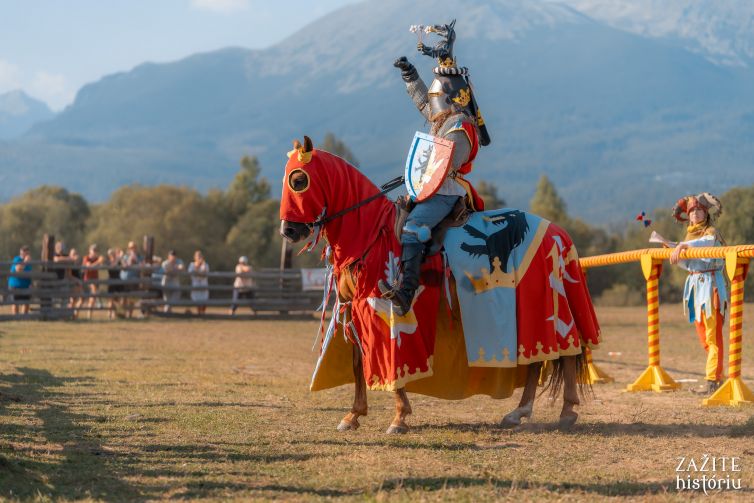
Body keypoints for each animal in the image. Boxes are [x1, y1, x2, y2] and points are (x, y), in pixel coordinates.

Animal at [276, 137, 600, 434]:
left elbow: (391, 359)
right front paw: (354, 414)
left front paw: (399, 416)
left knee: (564, 350)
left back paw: (566, 411)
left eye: (299, 180)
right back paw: (519, 411)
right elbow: (359, 361)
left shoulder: (383, 309)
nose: (288, 231)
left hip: (544, 305)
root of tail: (557, 232)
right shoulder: (352, 308)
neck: (369, 230)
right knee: (538, 360)